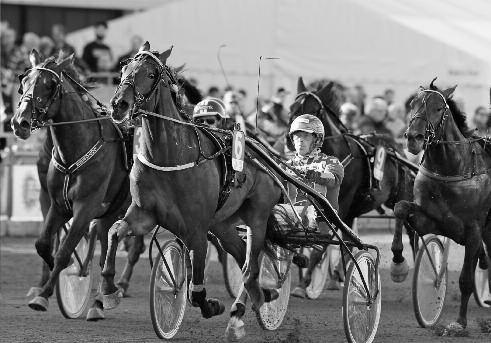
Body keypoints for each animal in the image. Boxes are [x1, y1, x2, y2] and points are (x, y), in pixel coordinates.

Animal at [10, 51, 132, 322]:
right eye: (24, 81)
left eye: (49, 85)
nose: (19, 122)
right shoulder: (57, 205)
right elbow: (44, 244)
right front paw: (57, 276)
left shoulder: (86, 207)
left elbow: (65, 249)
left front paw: (44, 295)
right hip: (110, 213)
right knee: (105, 244)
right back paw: (101, 298)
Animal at [102, 43, 282, 342]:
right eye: (124, 68)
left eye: (151, 74)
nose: (119, 105)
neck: (170, 156)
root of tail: (265, 152)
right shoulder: (144, 213)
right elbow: (115, 231)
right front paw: (108, 290)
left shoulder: (196, 228)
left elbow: (196, 290)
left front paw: (211, 305)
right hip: (222, 224)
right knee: (241, 255)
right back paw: (258, 297)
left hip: (257, 215)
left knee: (251, 265)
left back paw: (252, 303)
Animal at [290, 77, 418, 292]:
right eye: (292, 107)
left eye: (315, 110)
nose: (291, 138)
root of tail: (396, 148)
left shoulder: (339, 207)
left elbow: (325, 240)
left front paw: (305, 281)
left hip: (400, 197)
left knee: (410, 231)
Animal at [396, 80, 491, 334]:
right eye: (412, 103)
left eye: (438, 108)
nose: (414, 137)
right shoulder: (432, 221)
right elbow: (400, 207)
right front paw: (398, 263)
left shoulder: (473, 230)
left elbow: (466, 280)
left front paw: (459, 323)